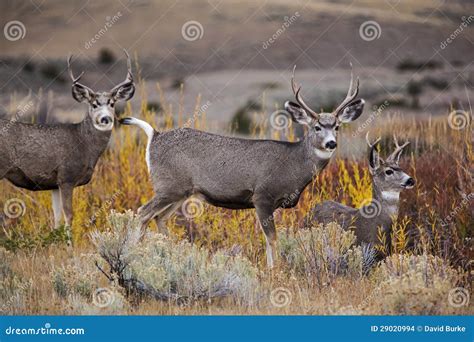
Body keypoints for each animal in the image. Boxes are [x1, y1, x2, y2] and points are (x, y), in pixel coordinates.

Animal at [0, 50, 135, 243]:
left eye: (112, 103)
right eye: (94, 104)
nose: (105, 119)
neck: (84, 143)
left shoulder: (55, 184)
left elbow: (57, 219)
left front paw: (57, 242)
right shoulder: (67, 177)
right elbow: (69, 215)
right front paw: (70, 244)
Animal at [120, 65, 364, 268]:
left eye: (337, 127)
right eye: (316, 127)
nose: (331, 143)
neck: (293, 165)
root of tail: (155, 135)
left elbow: (269, 240)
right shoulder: (262, 196)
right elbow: (272, 239)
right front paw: (275, 271)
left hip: (181, 192)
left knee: (159, 217)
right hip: (168, 186)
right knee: (142, 213)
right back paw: (130, 255)